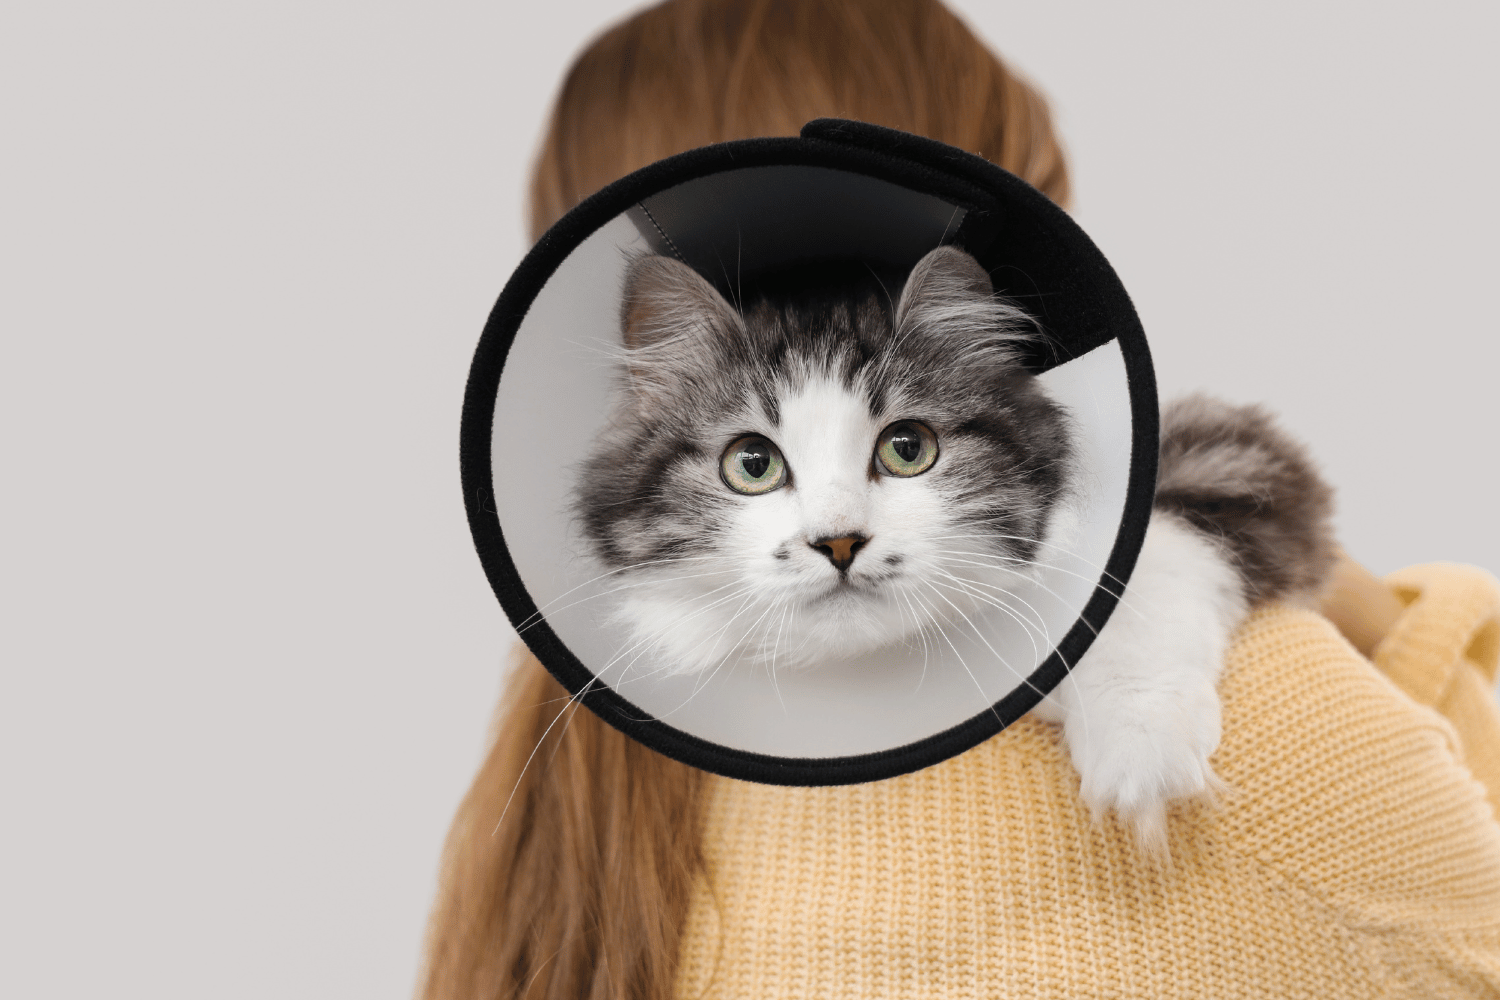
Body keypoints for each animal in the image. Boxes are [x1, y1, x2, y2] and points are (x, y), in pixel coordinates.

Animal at [576, 245, 1338, 851]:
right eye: (752, 464)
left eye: (908, 449)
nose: (839, 541)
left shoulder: (1227, 454)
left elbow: (1149, 575)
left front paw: (1141, 749)